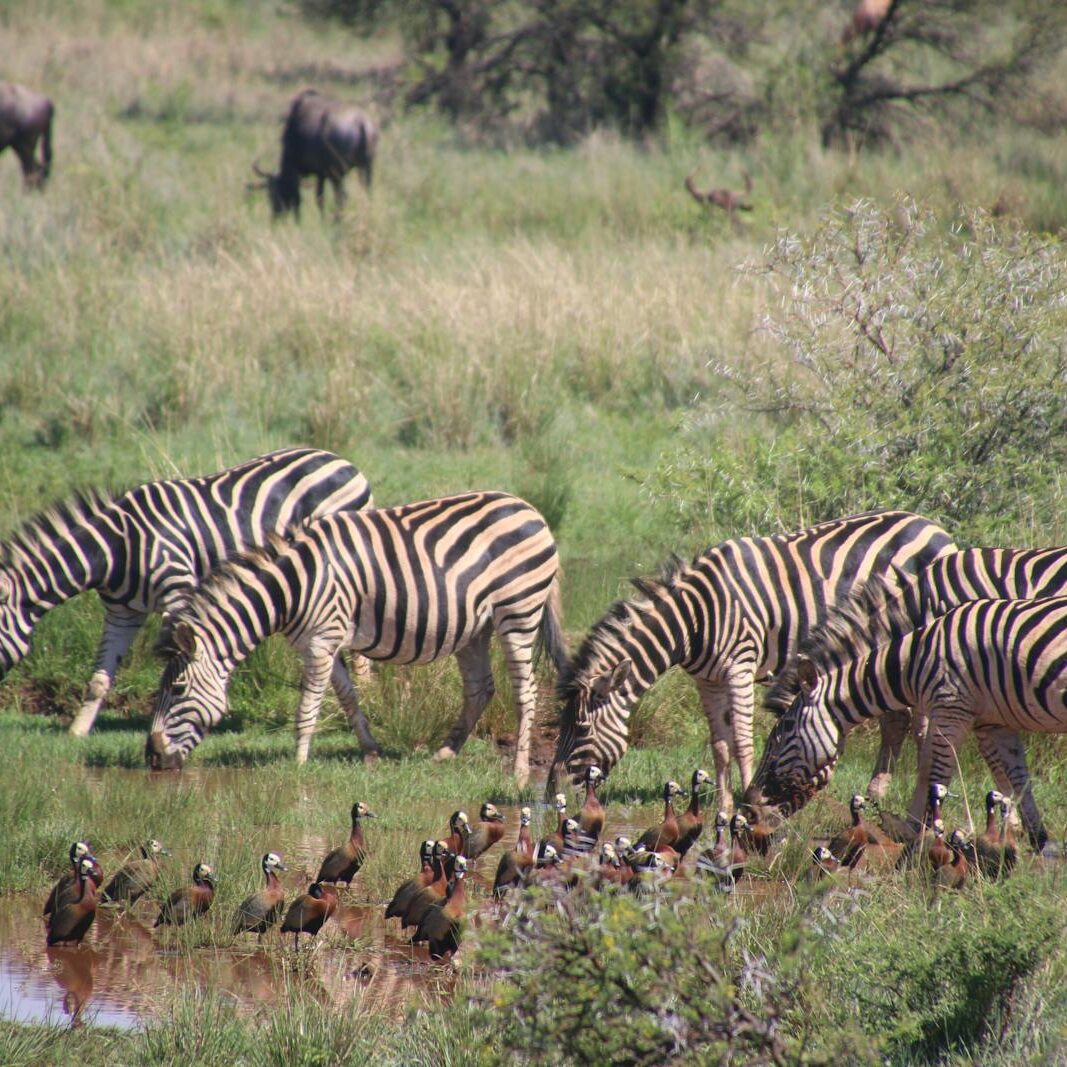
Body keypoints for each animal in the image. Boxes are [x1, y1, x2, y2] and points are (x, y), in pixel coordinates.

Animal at [0, 448, 371, 734]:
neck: (116, 549)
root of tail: (342, 460)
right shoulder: (122, 612)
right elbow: (99, 680)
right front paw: (77, 732)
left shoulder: (176, 589)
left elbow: (177, 655)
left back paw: (370, 694)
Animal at [148, 490, 576, 785]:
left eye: (179, 689)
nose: (152, 758)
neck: (292, 587)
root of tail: (531, 510)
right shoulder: (325, 641)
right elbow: (348, 696)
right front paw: (370, 752)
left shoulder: (321, 642)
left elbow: (308, 706)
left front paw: (297, 764)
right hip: (476, 627)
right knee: (481, 688)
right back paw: (446, 751)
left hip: (518, 611)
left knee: (525, 692)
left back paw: (519, 772)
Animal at [550, 512, 951, 802]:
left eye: (581, 728)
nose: (551, 795)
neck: (694, 618)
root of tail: (932, 525)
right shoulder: (707, 680)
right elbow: (720, 745)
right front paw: (723, 805)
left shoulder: (739, 668)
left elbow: (742, 741)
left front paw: (745, 797)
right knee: (897, 720)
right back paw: (876, 792)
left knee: (922, 722)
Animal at [746, 584, 1067, 849]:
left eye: (783, 734)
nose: (748, 806)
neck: (912, 662)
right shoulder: (992, 722)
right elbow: (1018, 777)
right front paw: (1038, 841)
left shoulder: (951, 708)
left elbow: (936, 774)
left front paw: (926, 835)